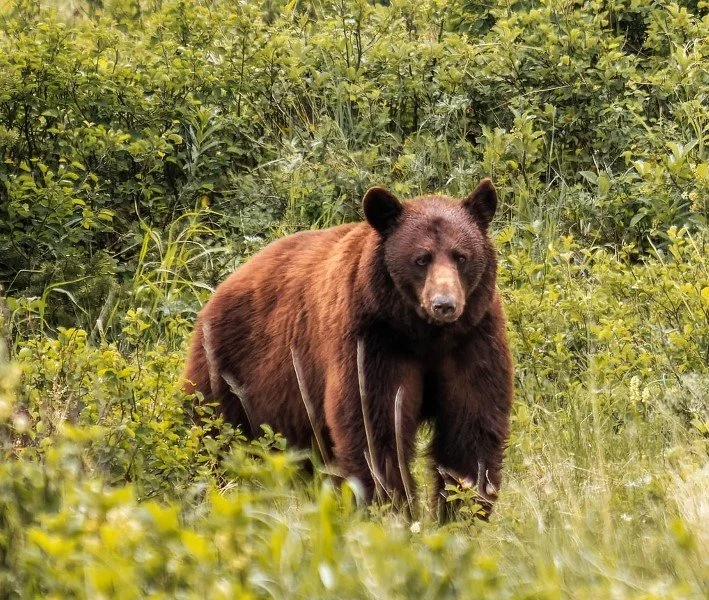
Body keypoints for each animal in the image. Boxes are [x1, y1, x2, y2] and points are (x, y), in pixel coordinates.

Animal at [183, 179, 513, 518]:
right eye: (421, 258)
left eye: (461, 256)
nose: (444, 304)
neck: (424, 334)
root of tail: (222, 287)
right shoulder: (372, 342)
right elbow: (374, 426)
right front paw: (391, 507)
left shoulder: (473, 339)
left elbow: (471, 426)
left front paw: (462, 510)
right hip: (230, 369)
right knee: (210, 433)